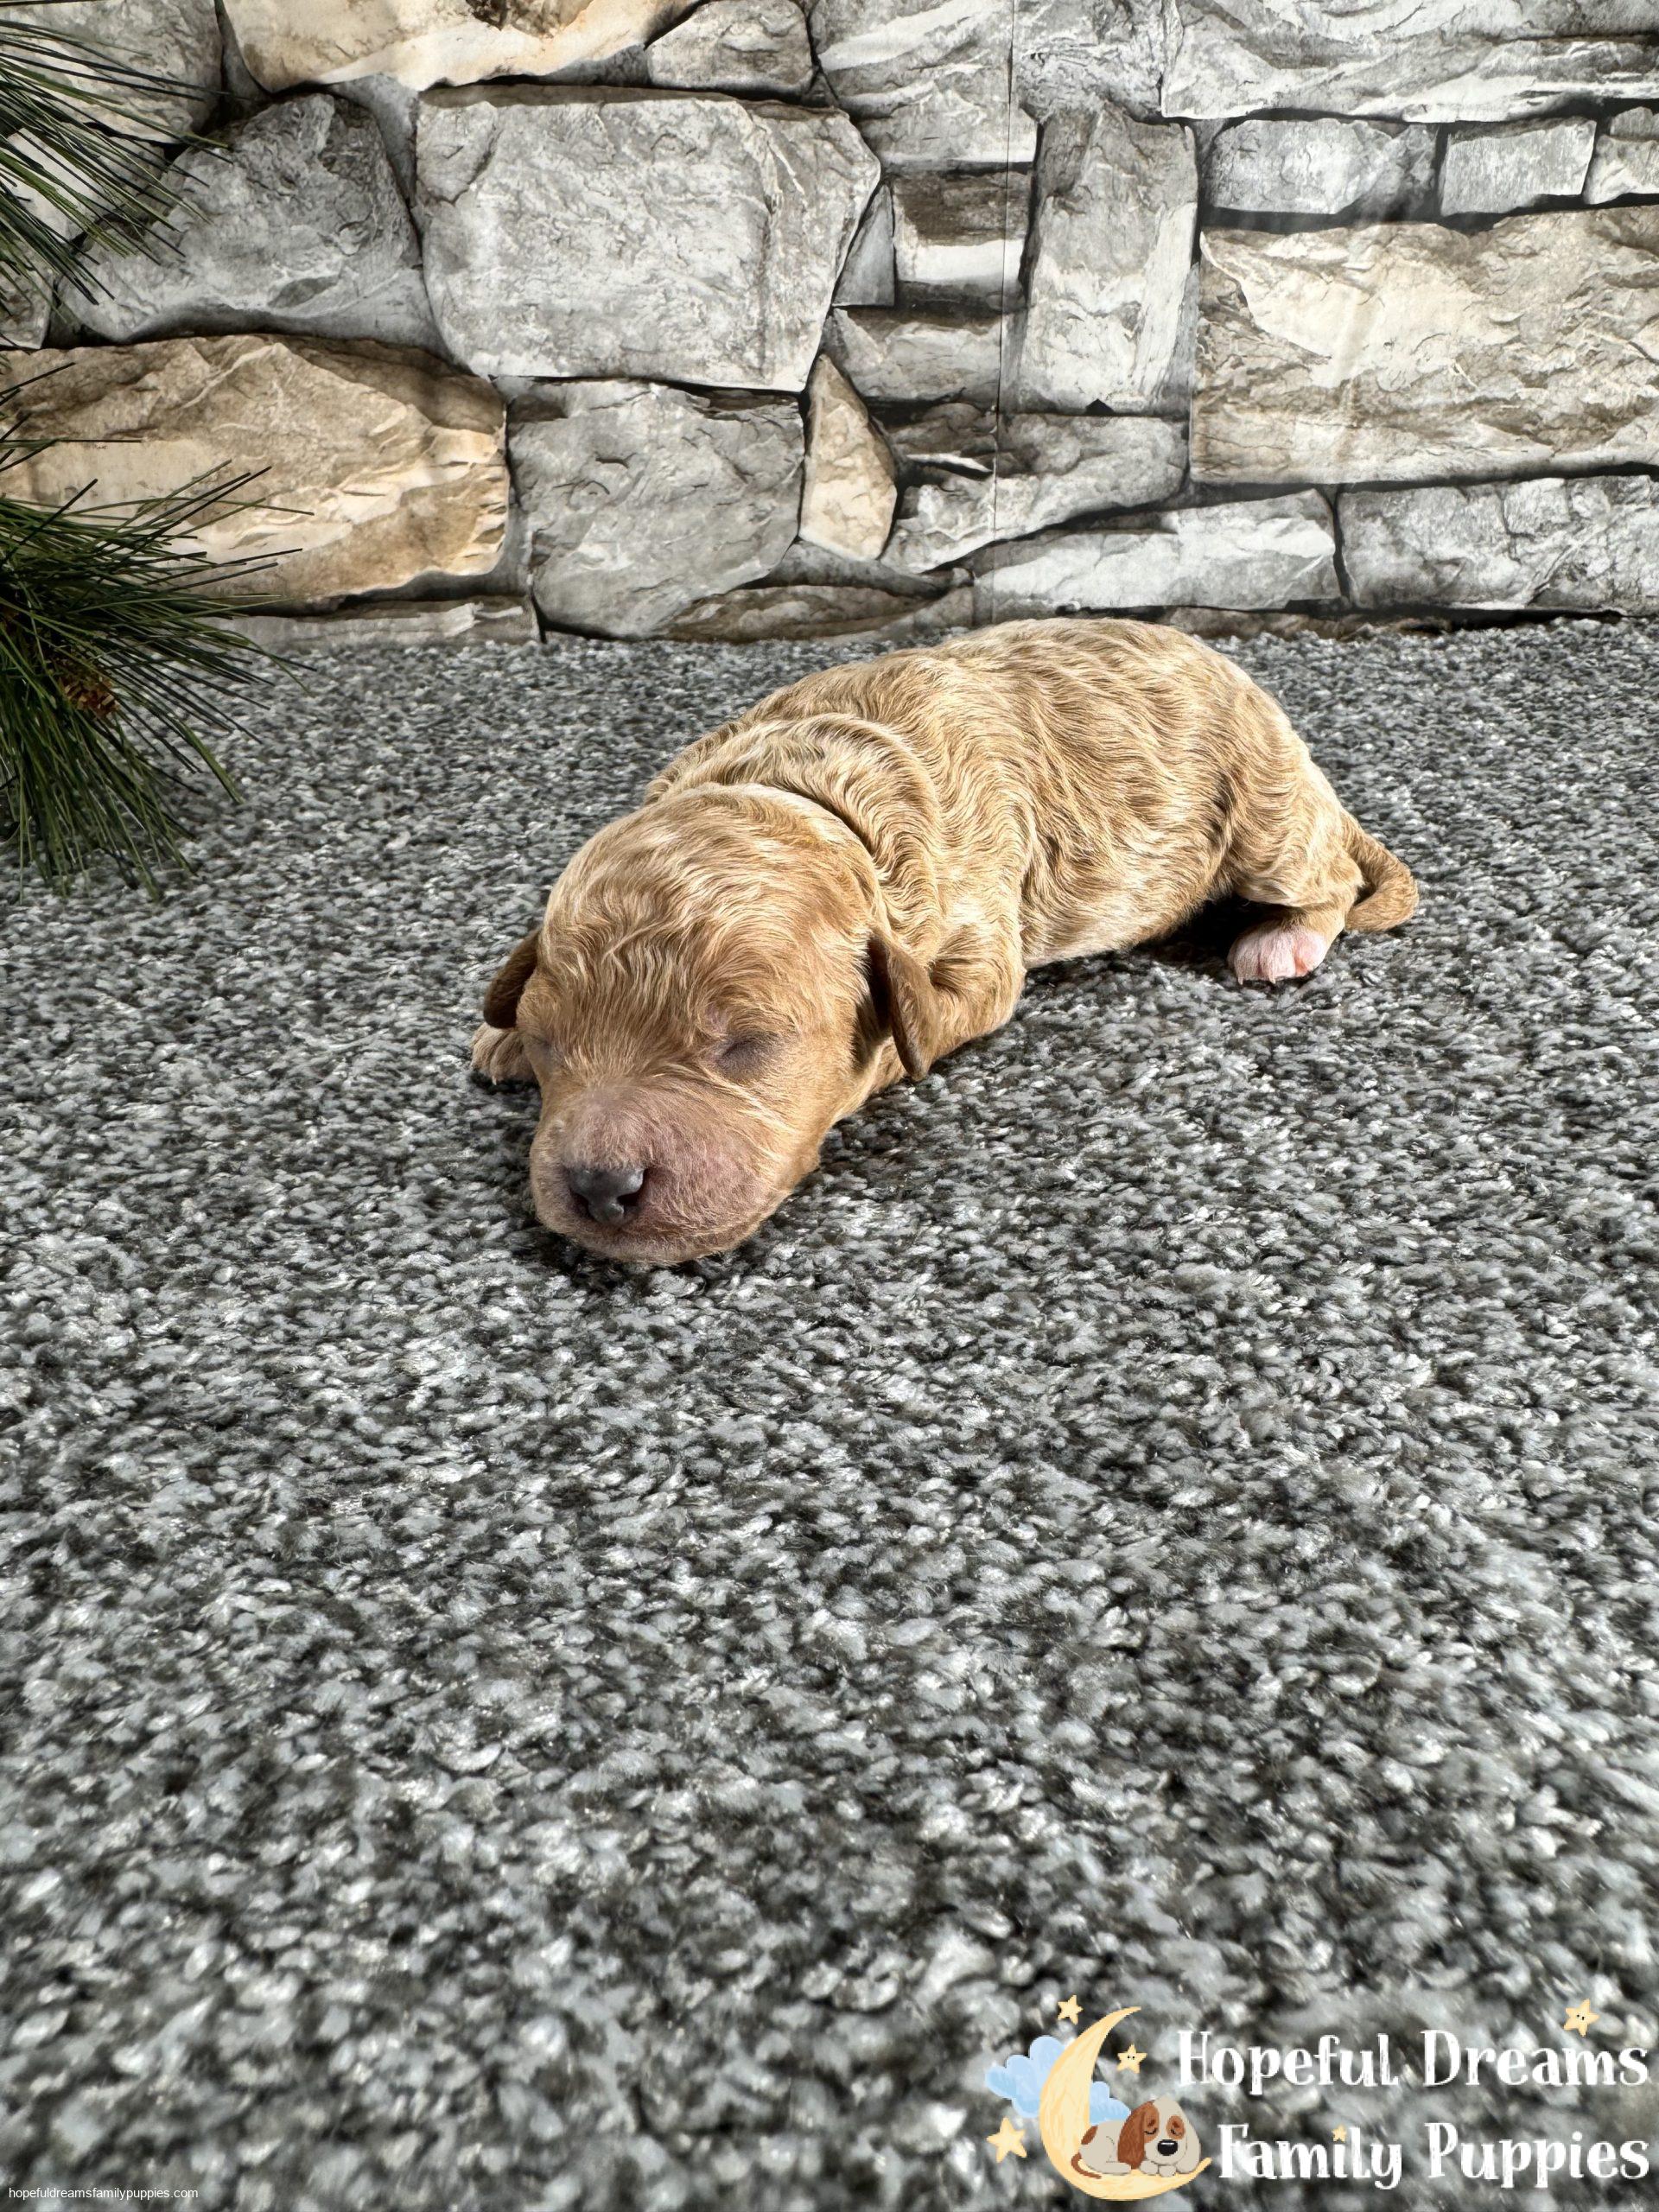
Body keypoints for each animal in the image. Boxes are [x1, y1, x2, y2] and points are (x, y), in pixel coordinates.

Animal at [474, 617, 1416, 1264]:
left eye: (746, 1046)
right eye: (555, 1043)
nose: (601, 1187)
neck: (798, 787)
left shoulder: (977, 953)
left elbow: (907, 1029)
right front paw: (501, 1034)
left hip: (1264, 820)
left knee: (1330, 877)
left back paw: (1282, 941)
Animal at [1074, 2097, 1203, 2181]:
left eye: (1176, 2130)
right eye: (1150, 2130)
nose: (1167, 2146)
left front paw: (1167, 2168)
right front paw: (1150, 2166)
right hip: (1105, 2143)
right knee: (1096, 2163)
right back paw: (1120, 2167)